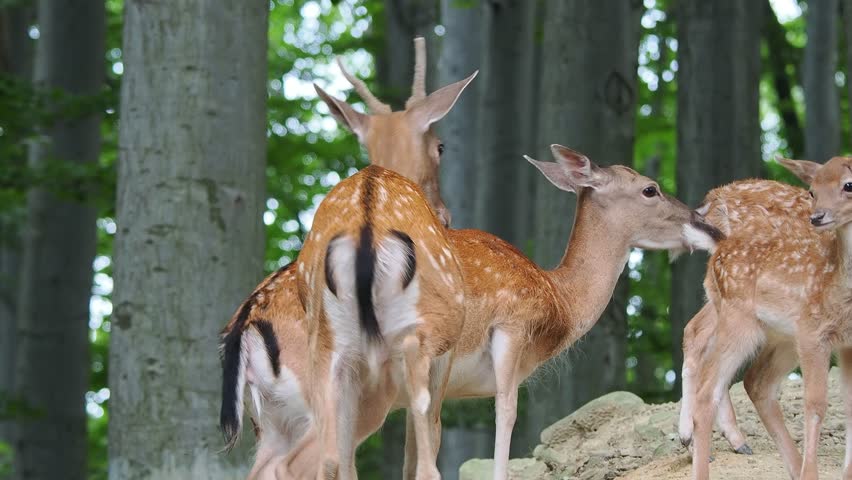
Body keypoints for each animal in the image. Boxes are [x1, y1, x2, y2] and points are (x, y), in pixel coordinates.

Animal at [218, 37, 477, 479]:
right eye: (441, 146)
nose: (446, 215)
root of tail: (244, 329)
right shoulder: (440, 360)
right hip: (393, 358)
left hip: (288, 404)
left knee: (316, 460)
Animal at [686, 157, 852, 480]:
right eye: (812, 191)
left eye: (848, 185)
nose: (817, 217)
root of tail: (714, 198)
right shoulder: (815, 333)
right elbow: (818, 403)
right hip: (741, 319)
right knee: (705, 359)